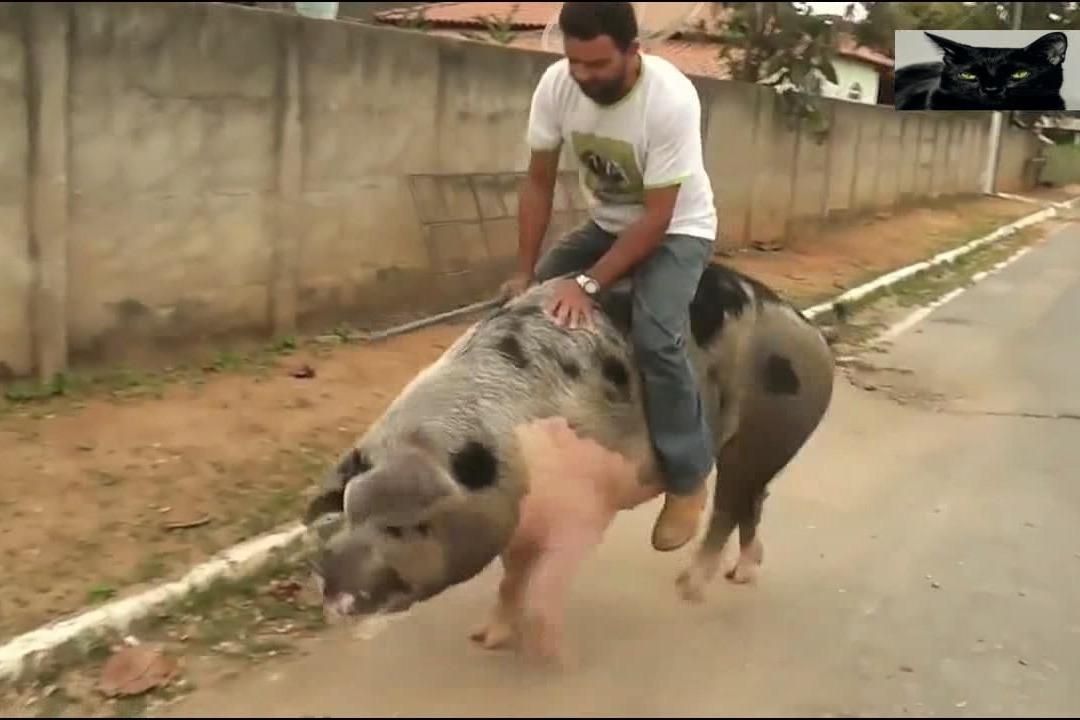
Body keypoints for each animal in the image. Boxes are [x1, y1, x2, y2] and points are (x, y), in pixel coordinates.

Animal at [304, 263, 833, 664]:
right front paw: (486, 639)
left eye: (403, 526)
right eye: (349, 510)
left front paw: (558, 660)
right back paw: (740, 574)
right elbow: (512, 576)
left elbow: (546, 584)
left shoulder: (585, 509)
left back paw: (687, 585)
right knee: (752, 499)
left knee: (729, 502)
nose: (328, 576)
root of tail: (808, 328)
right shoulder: (520, 519)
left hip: (770, 427)